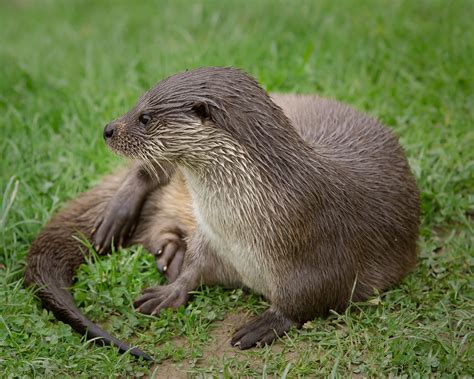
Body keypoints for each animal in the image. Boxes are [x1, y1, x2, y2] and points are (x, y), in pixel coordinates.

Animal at [25, 67, 418, 360]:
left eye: (145, 117)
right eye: (137, 104)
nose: (108, 129)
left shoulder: (322, 243)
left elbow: (314, 295)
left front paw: (267, 323)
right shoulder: (213, 238)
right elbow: (196, 267)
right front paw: (169, 291)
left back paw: (169, 248)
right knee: (151, 175)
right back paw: (119, 217)